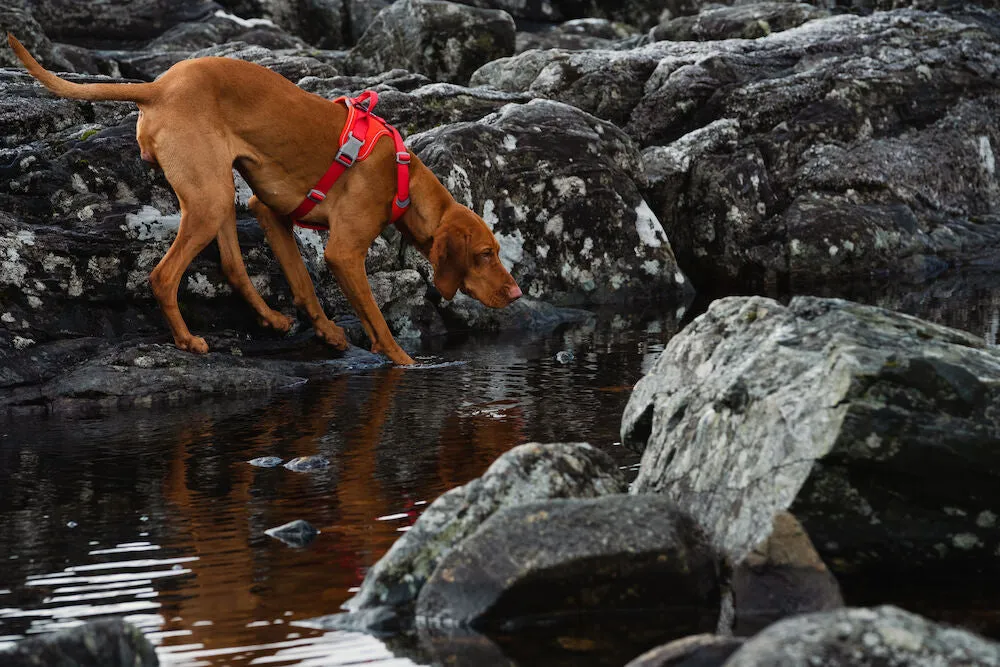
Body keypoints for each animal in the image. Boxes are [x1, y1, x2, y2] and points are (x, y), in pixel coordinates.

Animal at [9, 34, 524, 366]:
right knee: (162, 276)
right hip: (209, 199)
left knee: (233, 266)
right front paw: (403, 362)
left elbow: (305, 284)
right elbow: (376, 316)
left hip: (218, 193)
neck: (403, 178)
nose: (517, 293)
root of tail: (158, 87)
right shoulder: (344, 252)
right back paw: (187, 341)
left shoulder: (272, 213)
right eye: (484, 254)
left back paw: (273, 320)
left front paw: (329, 332)